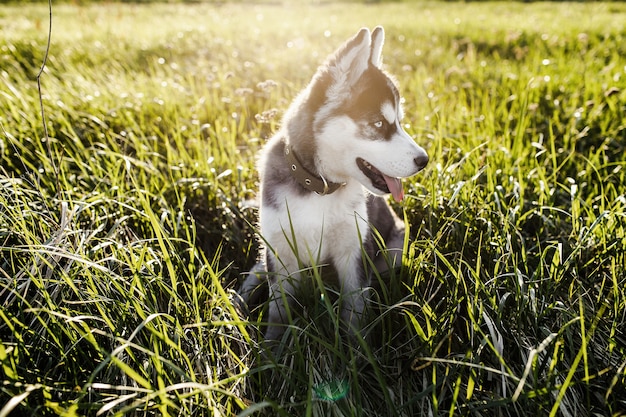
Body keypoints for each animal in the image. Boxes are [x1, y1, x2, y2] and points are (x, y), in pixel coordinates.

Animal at [236, 26, 426, 342]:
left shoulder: (354, 252)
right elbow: (279, 313)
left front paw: (358, 350)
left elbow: (355, 310)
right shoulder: (282, 255)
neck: (319, 189)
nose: (424, 160)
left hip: (396, 249)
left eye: (399, 121)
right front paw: (274, 349)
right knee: (255, 271)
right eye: (378, 124)